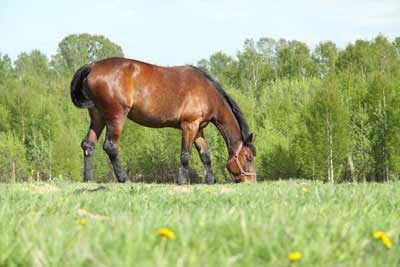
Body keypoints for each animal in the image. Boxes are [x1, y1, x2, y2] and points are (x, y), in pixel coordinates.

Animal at [70, 57, 256, 184]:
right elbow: (185, 155)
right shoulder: (189, 125)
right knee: (111, 146)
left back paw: (89, 179)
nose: (251, 181)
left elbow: (205, 156)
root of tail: (92, 66)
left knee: (88, 145)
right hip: (116, 117)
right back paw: (124, 179)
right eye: (248, 158)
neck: (207, 93)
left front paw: (211, 180)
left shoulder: (198, 128)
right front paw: (182, 181)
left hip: (98, 116)